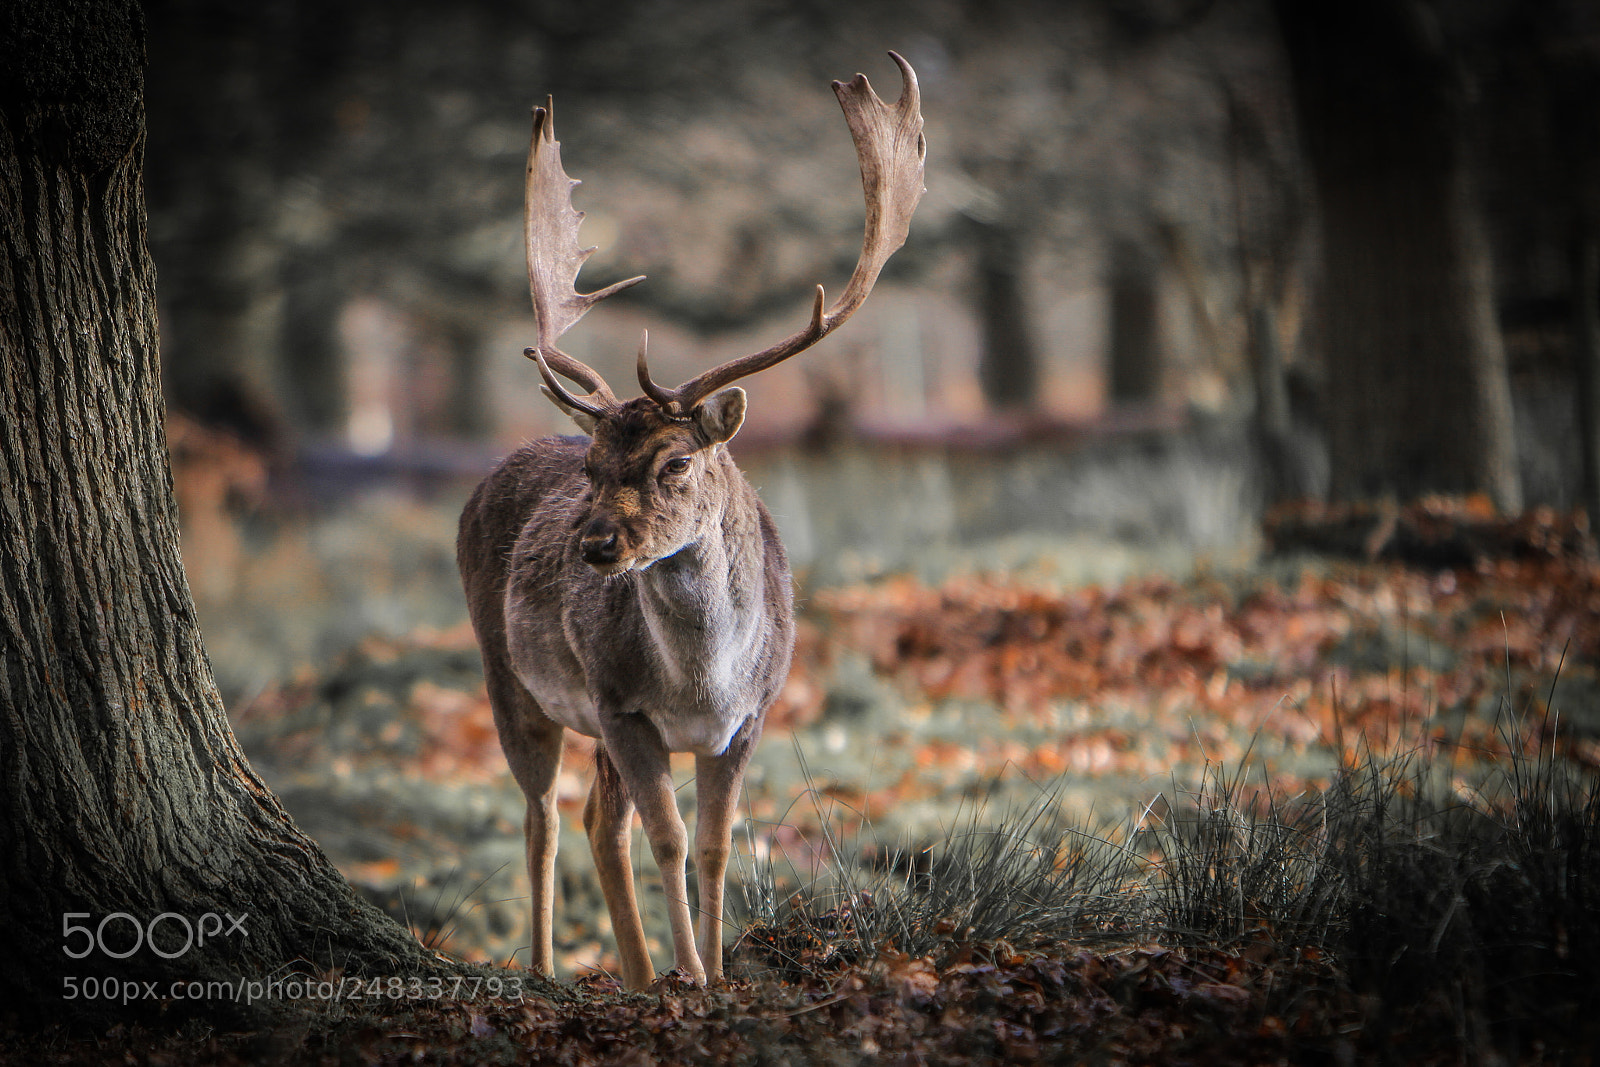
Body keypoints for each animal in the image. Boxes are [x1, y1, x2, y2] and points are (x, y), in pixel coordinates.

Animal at [457, 52, 925, 989]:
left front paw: (712, 968)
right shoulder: (623, 706)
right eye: (593, 466)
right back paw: (545, 968)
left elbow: (714, 844)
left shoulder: (750, 716)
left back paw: (637, 973)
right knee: (542, 814)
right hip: (509, 675)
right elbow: (668, 841)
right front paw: (695, 978)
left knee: (597, 822)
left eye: (675, 463)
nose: (596, 545)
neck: (703, 682)